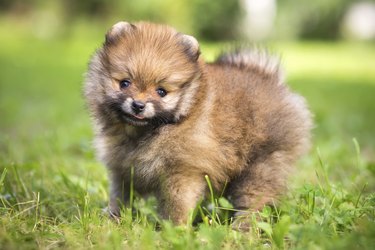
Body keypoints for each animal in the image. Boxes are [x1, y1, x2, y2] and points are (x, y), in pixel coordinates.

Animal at [85, 21, 314, 225]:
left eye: (161, 91)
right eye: (125, 83)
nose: (138, 105)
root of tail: (271, 79)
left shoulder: (183, 172)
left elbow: (177, 205)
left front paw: (173, 230)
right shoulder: (123, 170)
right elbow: (120, 197)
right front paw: (112, 218)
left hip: (263, 163)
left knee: (256, 199)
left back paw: (243, 227)